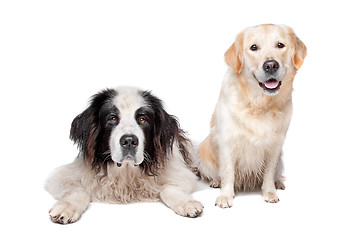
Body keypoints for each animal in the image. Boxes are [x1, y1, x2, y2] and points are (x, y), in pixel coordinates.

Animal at [45, 87, 204, 224]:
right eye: (113, 119)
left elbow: (168, 188)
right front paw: (66, 207)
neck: (126, 171)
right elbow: (80, 190)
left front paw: (187, 203)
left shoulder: (178, 173)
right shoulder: (63, 176)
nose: (129, 141)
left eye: (142, 119)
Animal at [195, 24, 308, 208]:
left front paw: (269, 192)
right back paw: (215, 182)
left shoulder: (275, 145)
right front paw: (225, 196)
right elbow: (228, 172)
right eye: (253, 47)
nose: (271, 65)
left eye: (280, 45)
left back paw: (278, 183)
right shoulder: (227, 141)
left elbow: (268, 172)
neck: (258, 104)